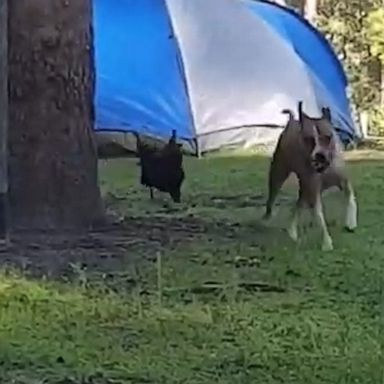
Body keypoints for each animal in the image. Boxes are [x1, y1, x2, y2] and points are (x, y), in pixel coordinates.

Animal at [264, 102, 356, 252]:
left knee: (298, 205)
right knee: (273, 196)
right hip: (279, 173)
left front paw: (351, 223)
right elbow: (319, 217)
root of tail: (292, 121)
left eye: (328, 137)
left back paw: (292, 232)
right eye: (309, 139)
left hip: (304, 188)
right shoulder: (313, 190)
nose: (319, 155)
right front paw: (327, 243)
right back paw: (269, 216)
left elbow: (351, 199)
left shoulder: (344, 181)